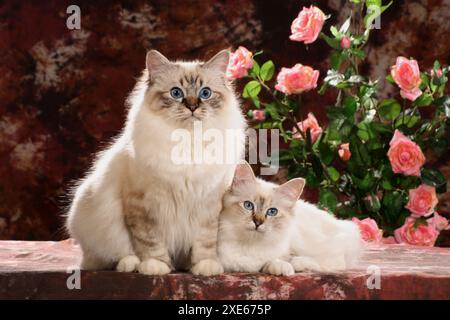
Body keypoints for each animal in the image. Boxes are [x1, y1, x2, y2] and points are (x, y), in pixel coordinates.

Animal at [66, 49, 246, 276]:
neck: (187, 140)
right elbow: (150, 242)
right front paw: (155, 266)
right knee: (107, 257)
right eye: (176, 93)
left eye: (205, 93)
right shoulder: (141, 205)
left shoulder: (208, 205)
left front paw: (205, 266)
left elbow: (205, 242)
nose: (192, 106)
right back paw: (131, 264)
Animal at [218, 162, 362, 276]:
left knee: (333, 262)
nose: (257, 222)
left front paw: (283, 268)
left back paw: (298, 264)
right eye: (248, 205)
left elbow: (274, 261)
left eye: (272, 212)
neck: (249, 245)